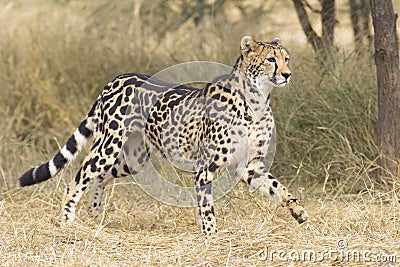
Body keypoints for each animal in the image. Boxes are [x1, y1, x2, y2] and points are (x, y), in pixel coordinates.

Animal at [17, 36, 308, 237]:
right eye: (271, 59)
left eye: (287, 59)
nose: (287, 74)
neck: (256, 100)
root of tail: (117, 78)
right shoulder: (205, 167)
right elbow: (207, 206)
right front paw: (212, 237)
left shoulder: (248, 165)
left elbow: (278, 188)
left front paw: (298, 211)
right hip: (108, 145)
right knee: (78, 177)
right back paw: (68, 222)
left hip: (134, 159)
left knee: (100, 177)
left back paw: (94, 216)